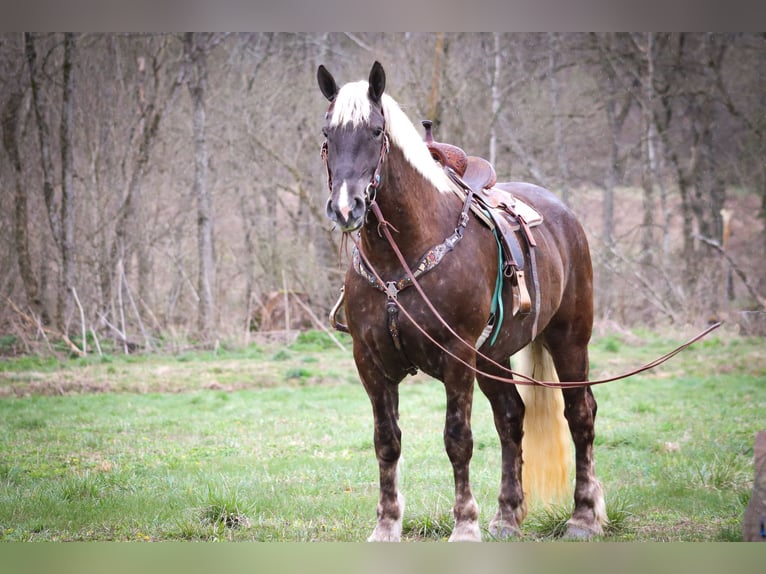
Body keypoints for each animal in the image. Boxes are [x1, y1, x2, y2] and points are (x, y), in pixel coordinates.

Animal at [316, 63, 608, 544]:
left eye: (376, 131)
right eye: (328, 134)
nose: (346, 208)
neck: (405, 253)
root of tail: (564, 215)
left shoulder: (456, 358)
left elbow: (458, 439)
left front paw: (465, 525)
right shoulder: (371, 363)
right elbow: (386, 441)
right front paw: (386, 525)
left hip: (569, 340)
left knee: (580, 414)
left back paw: (584, 516)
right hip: (493, 357)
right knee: (511, 417)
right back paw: (507, 515)